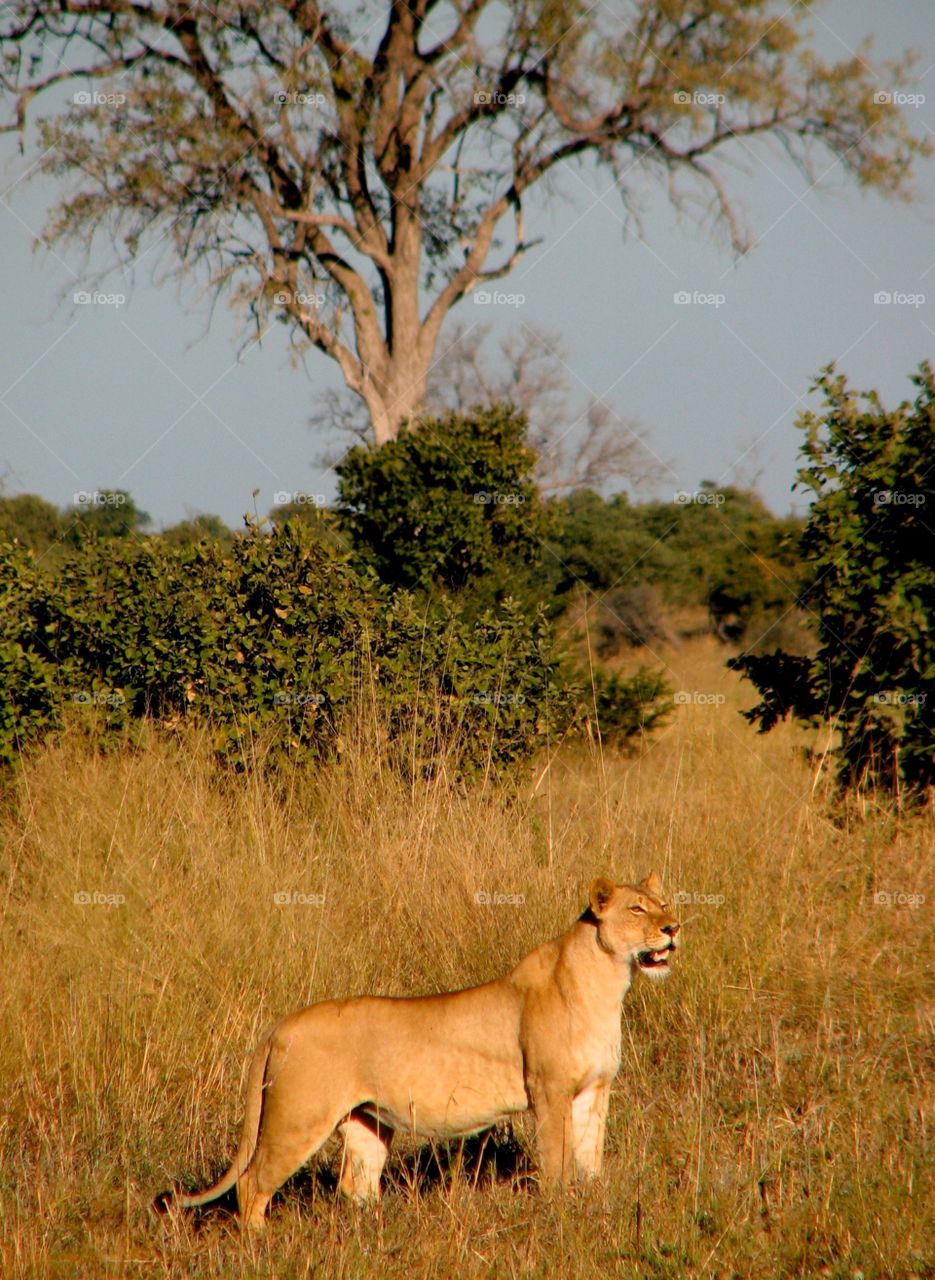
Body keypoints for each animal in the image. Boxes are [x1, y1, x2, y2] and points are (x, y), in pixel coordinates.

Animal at [157, 872, 679, 1227]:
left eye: (663, 903)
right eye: (637, 910)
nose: (673, 928)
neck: (608, 982)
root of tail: (280, 1025)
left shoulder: (595, 1089)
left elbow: (591, 1158)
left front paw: (592, 1203)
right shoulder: (548, 1092)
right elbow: (559, 1161)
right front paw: (558, 1214)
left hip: (364, 1124)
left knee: (354, 1188)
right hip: (296, 1119)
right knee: (252, 1183)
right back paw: (259, 1244)